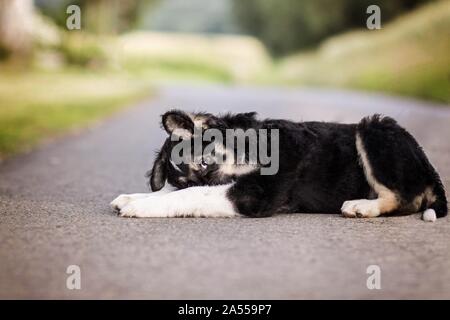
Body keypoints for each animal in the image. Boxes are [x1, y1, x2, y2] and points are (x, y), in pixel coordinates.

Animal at [111, 109, 446, 220]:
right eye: (193, 175)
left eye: (206, 162)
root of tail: (429, 169)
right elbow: (175, 192)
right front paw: (132, 197)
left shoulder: (255, 193)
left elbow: (190, 196)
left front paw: (140, 206)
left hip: (373, 128)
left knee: (401, 198)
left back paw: (362, 206)